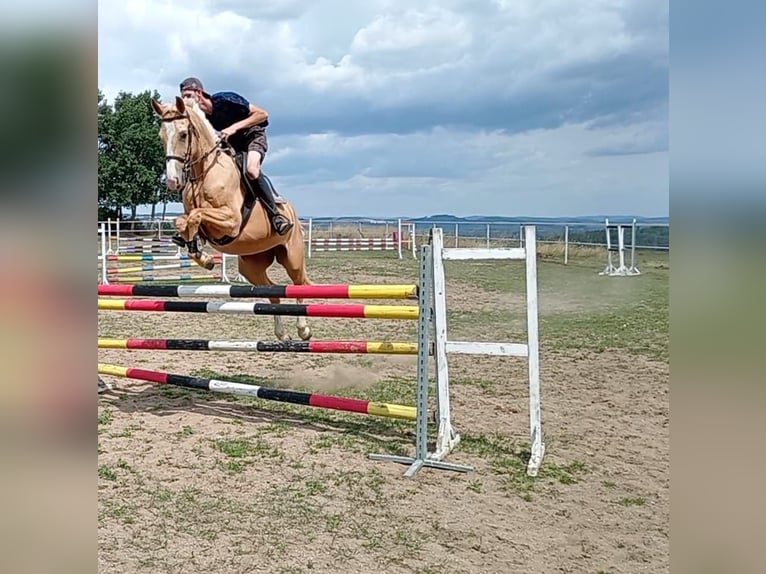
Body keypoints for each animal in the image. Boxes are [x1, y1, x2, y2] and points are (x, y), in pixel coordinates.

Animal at [150, 95, 312, 341]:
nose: (172, 181)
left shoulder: (231, 221)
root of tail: (292, 212)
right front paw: (203, 257)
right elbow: (184, 221)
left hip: (292, 256)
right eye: (161, 137)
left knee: (298, 284)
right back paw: (283, 335)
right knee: (273, 292)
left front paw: (204, 257)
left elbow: (196, 215)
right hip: (252, 266)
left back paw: (303, 330)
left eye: (183, 134)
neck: (203, 173)